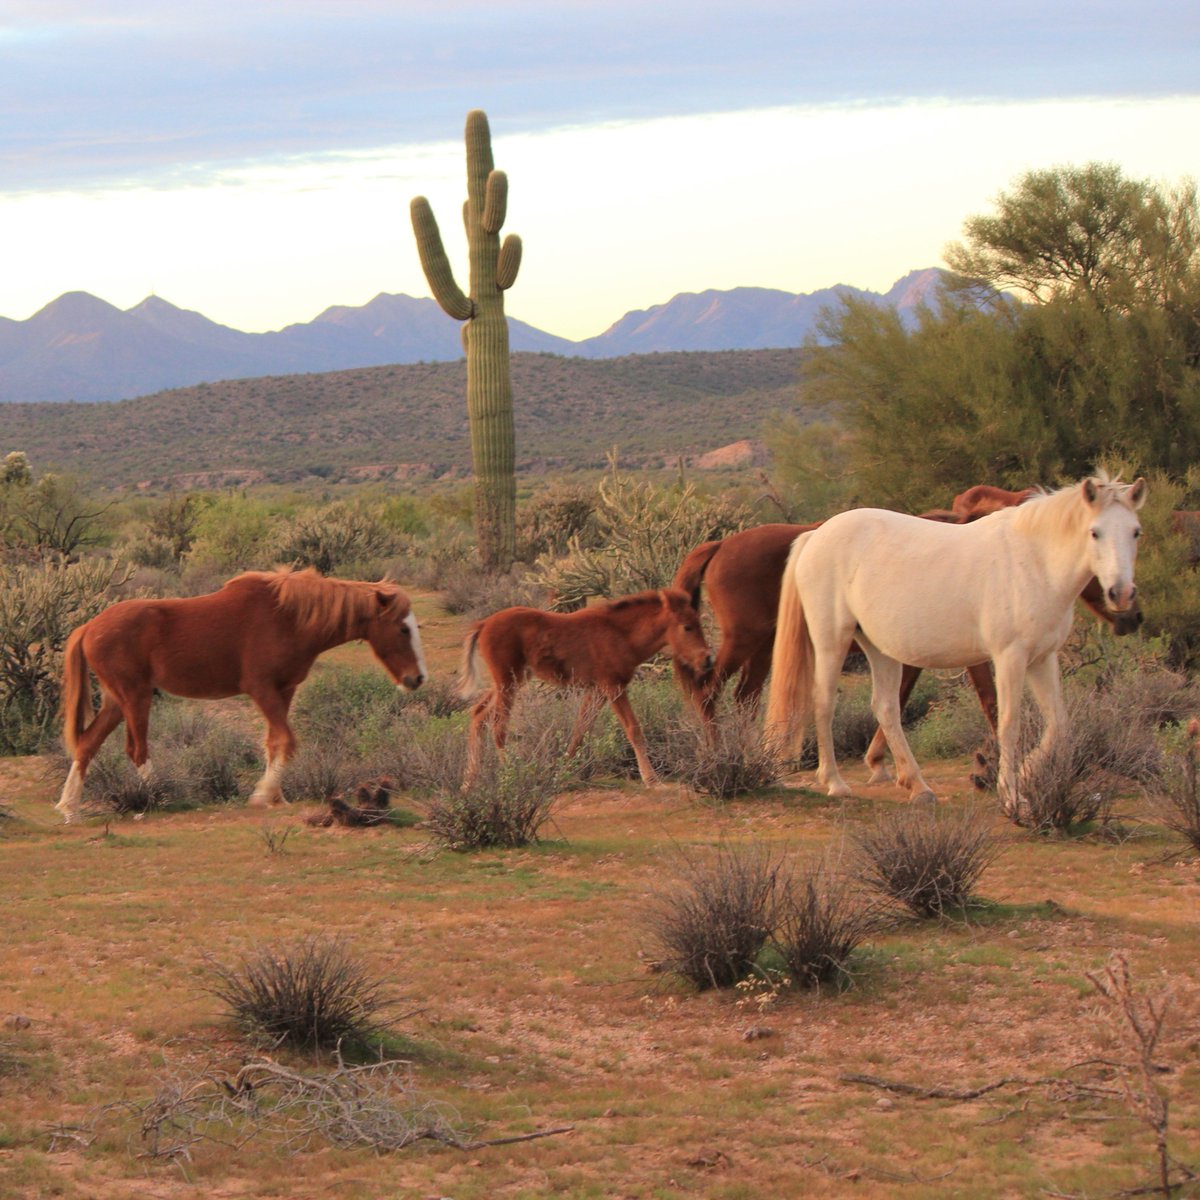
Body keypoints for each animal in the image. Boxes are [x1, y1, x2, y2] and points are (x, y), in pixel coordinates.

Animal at [59, 566, 432, 820]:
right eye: (402, 628)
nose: (416, 678)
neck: (289, 618)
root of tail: (88, 627)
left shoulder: (284, 691)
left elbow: (274, 743)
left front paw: (277, 797)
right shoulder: (261, 689)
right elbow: (287, 741)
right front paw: (262, 795)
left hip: (115, 701)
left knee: (87, 744)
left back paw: (69, 807)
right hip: (135, 696)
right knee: (136, 750)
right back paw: (160, 798)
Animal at [458, 588, 710, 787]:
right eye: (687, 627)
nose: (707, 659)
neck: (620, 634)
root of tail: (484, 624)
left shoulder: (596, 691)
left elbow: (580, 729)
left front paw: (564, 771)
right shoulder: (613, 687)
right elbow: (633, 729)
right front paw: (651, 779)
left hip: (513, 681)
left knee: (479, 714)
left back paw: (469, 781)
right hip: (507, 683)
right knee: (498, 726)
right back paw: (510, 773)